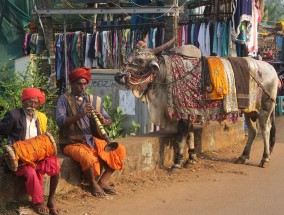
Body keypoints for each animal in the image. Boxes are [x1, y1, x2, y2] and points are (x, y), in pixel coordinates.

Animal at [115, 39, 278, 169]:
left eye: (140, 60)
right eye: (128, 58)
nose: (119, 76)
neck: (167, 74)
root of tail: (272, 69)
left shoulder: (184, 113)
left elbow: (181, 137)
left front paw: (178, 162)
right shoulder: (190, 112)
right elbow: (190, 136)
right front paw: (191, 158)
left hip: (265, 109)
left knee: (265, 130)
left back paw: (265, 158)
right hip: (249, 110)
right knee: (253, 131)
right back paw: (243, 157)